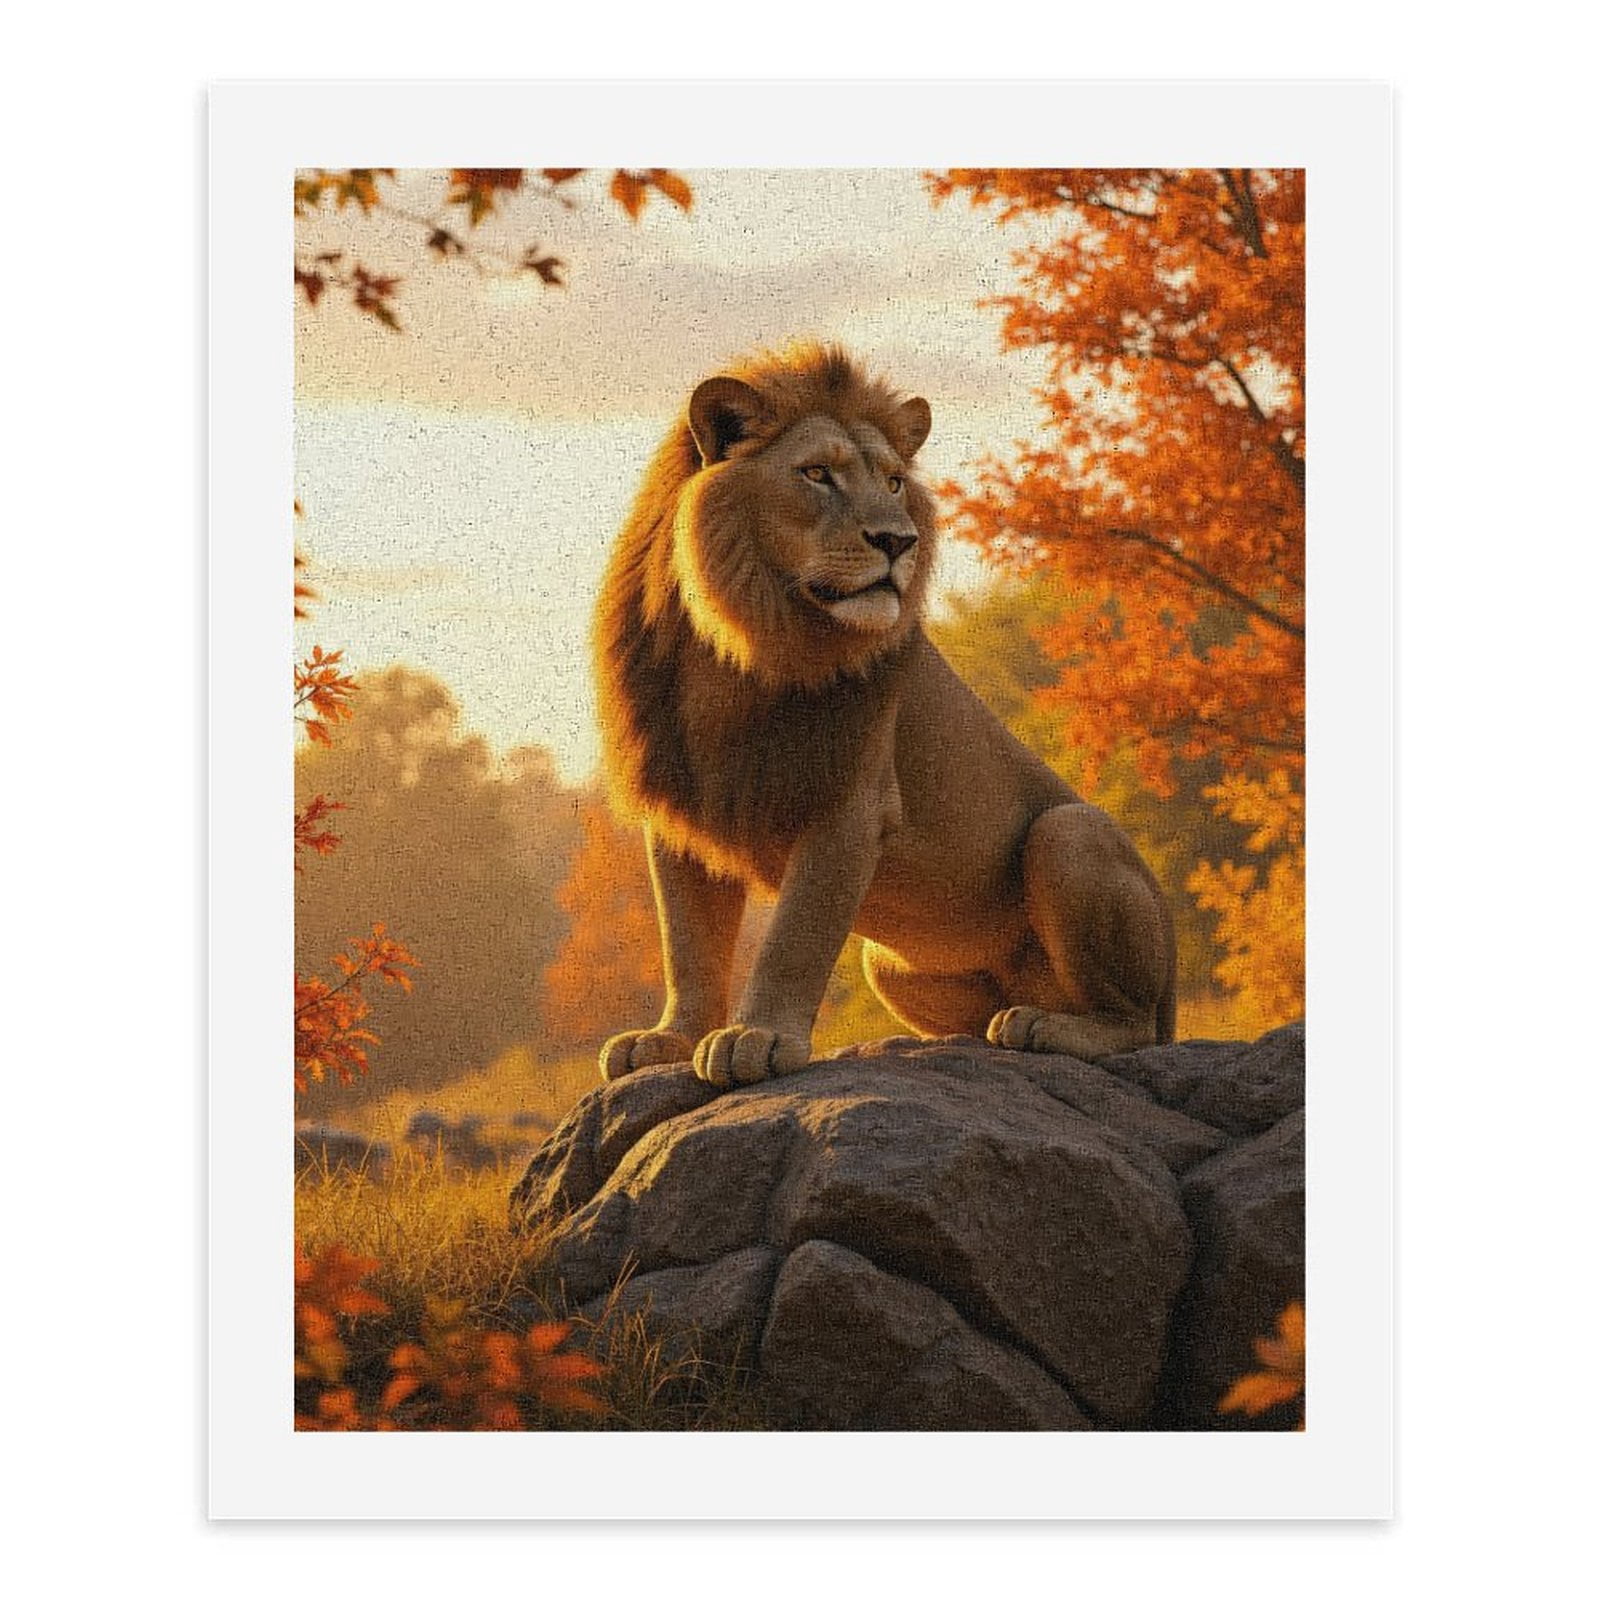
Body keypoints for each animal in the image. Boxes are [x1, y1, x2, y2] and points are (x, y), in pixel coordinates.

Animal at [592, 342, 1176, 1088]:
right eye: (817, 474)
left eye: (895, 483)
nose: (898, 541)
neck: (735, 647)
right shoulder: (680, 804)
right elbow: (686, 940)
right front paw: (669, 1038)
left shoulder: (850, 801)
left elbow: (796, 936)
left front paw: (757, 1037)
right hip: (888, 965)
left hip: (1069, 835)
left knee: (1134, 1026)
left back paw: (1044, 1027)